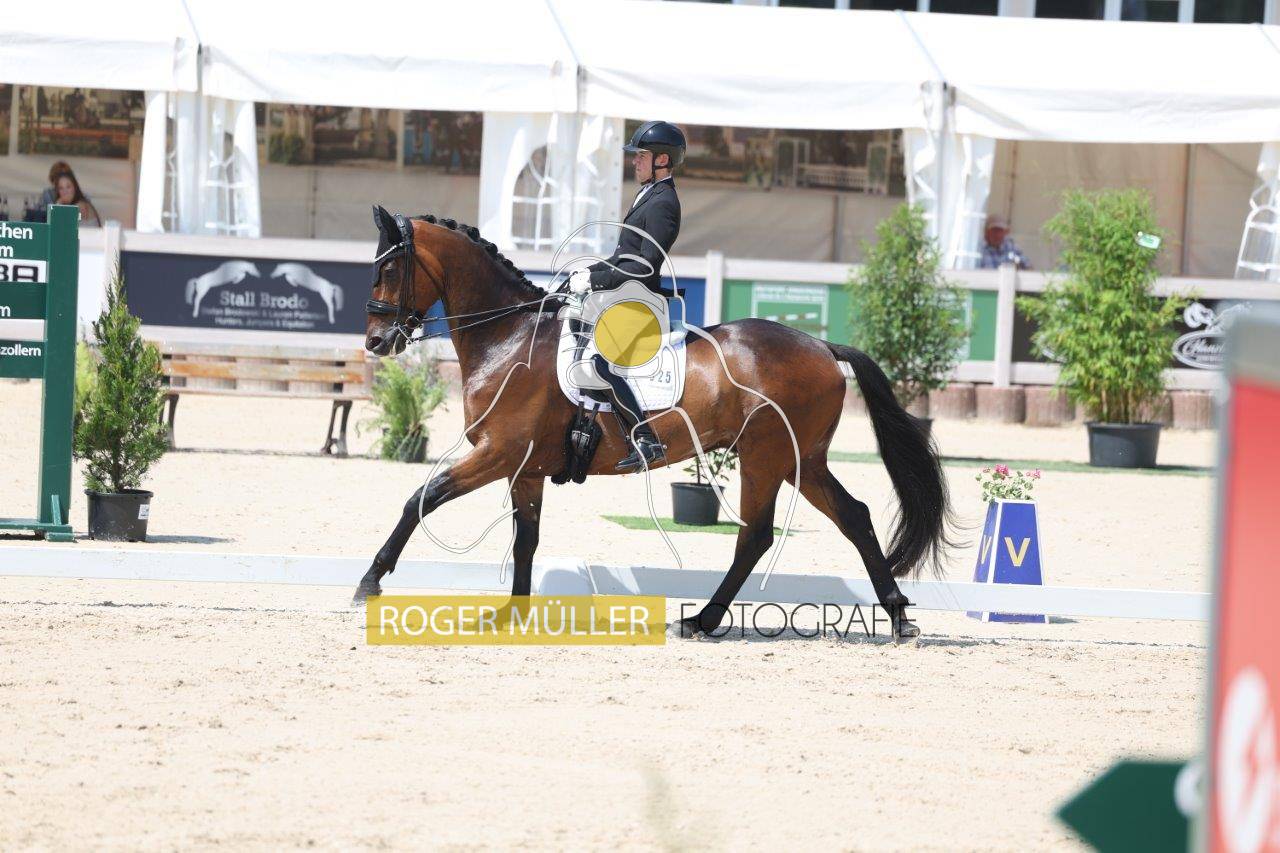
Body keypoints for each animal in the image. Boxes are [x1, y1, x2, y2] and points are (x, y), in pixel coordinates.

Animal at [353, 206, 955, 640]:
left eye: (389, 268)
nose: (377, 343)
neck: (509, 339)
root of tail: (823, 346)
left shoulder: (498, 453)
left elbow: (421, 498)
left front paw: (370, 582)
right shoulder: (523, 468)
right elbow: (526, 540)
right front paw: (511, 616)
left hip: (767, 457)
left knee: (756, 535)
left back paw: (704, 621)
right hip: (801, 460)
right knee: (852, 517)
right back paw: (896, 616)